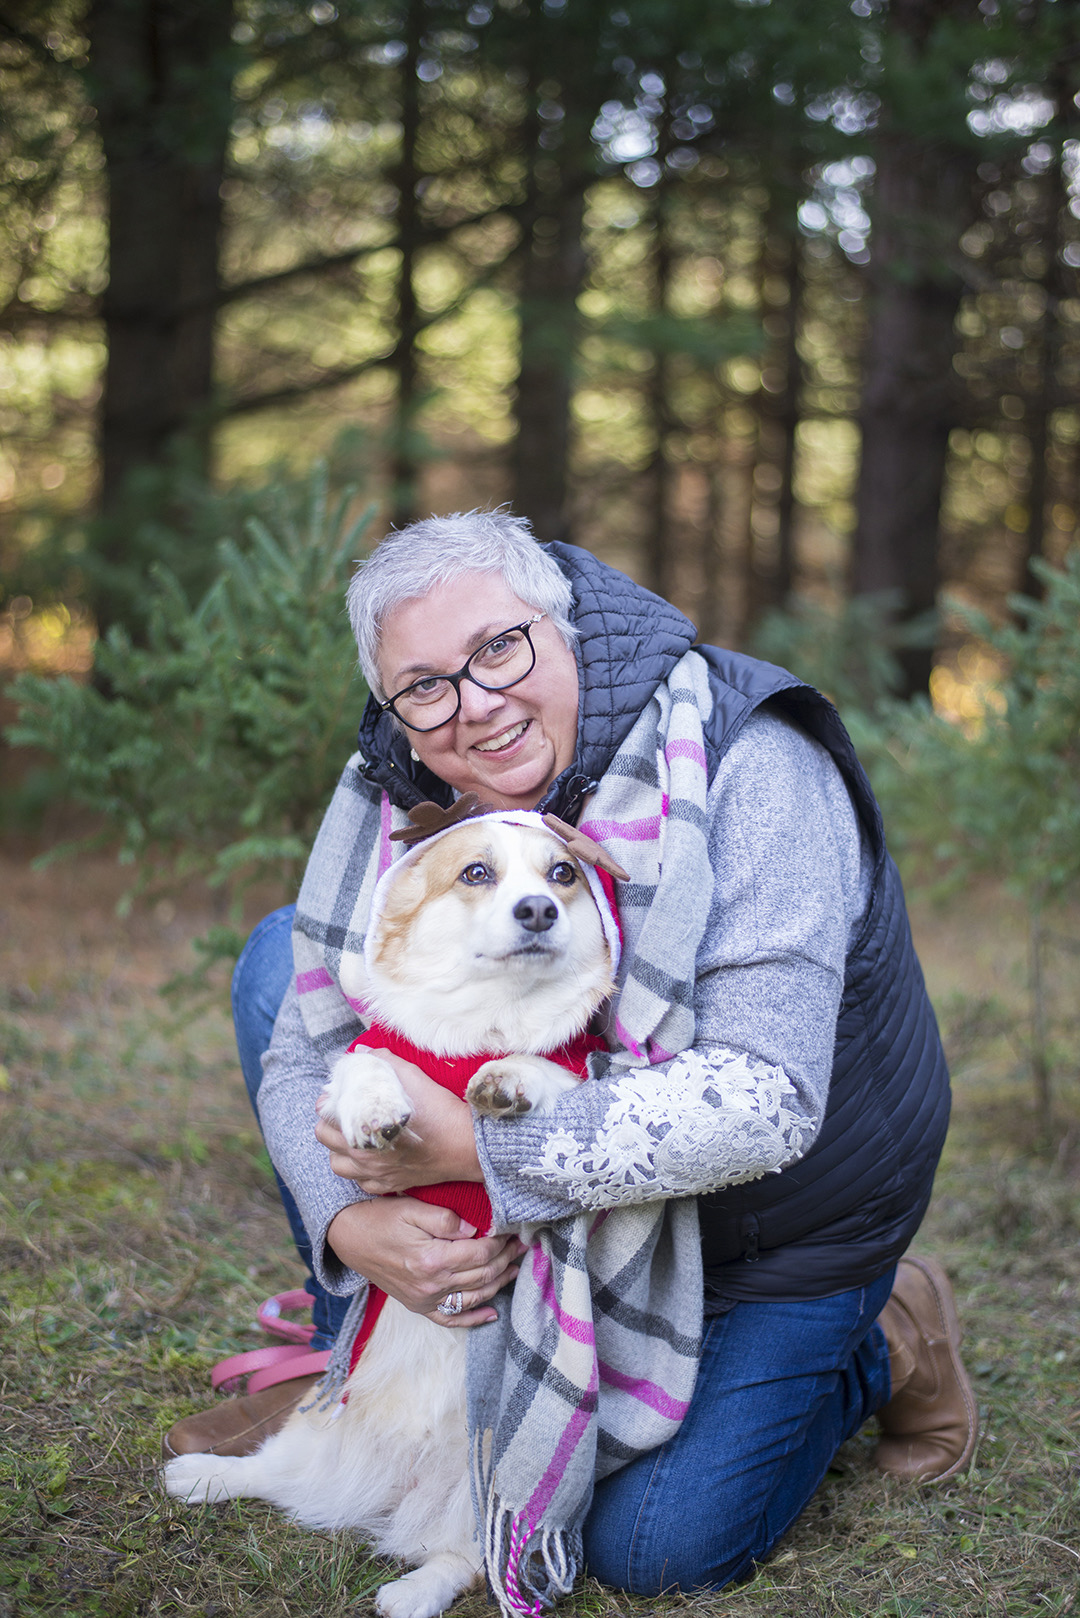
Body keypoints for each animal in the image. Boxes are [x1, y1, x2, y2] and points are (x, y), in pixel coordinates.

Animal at [169, 815, 625, 1618]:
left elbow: (552, 1071)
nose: (539, 909)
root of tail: (393, 1485)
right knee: (269, 1471)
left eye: (563, 874)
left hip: (481, 1495)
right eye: (476, 873)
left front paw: (508, 1079)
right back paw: (200, 1473)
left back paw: (410, 1592)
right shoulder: (366, 1056)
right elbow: (364, 1067)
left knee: (461, 1560)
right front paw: (378, 1109)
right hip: (312, 1428)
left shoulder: (576, 1078)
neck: (488, 1018)